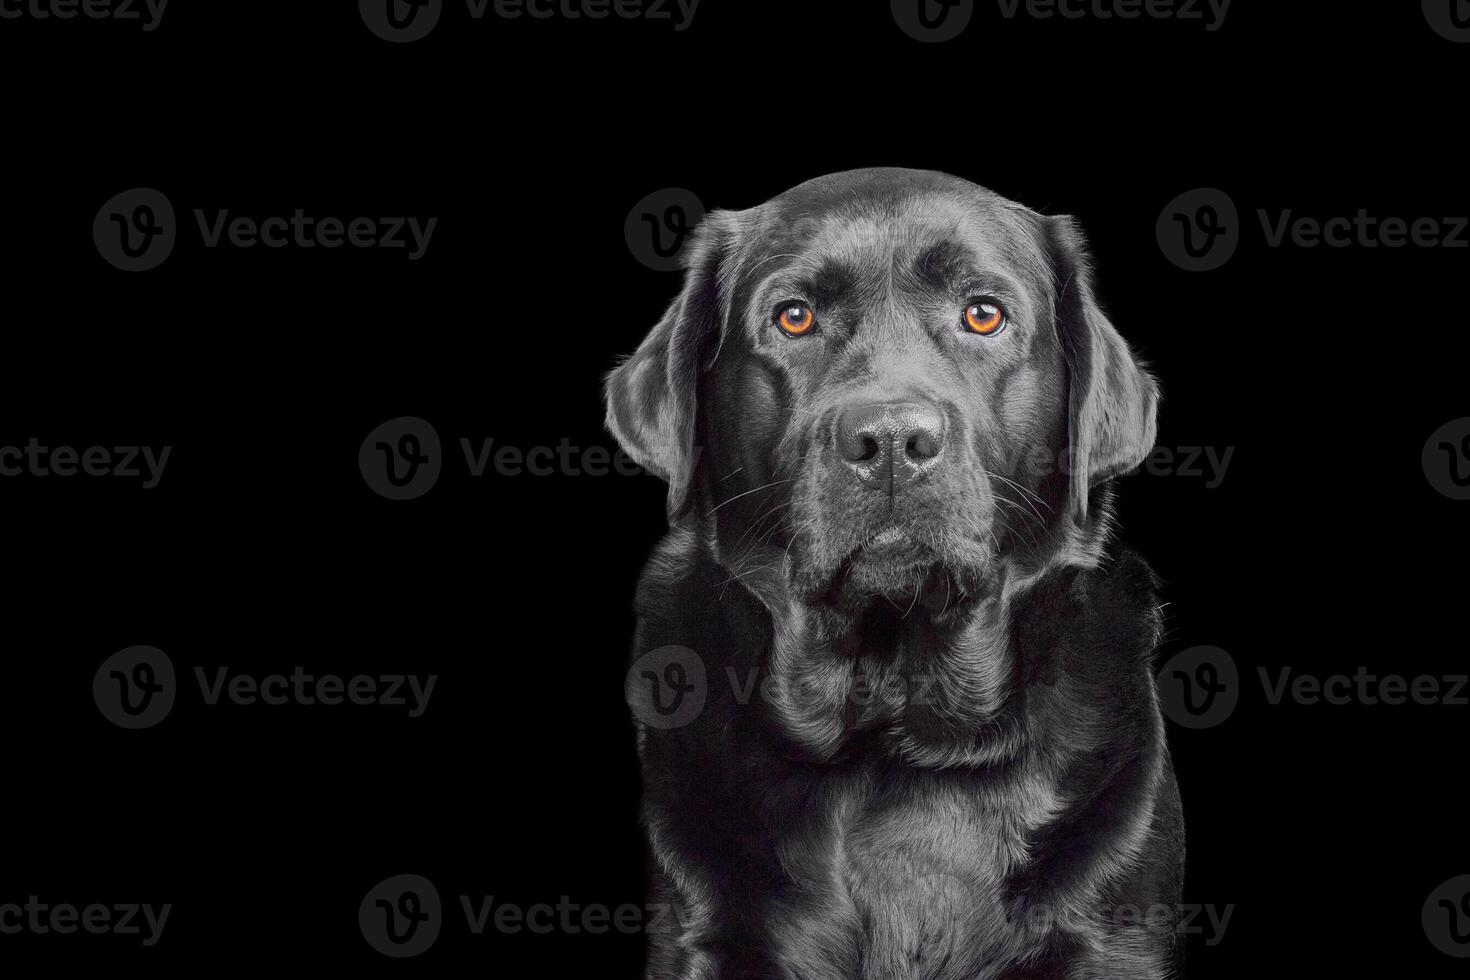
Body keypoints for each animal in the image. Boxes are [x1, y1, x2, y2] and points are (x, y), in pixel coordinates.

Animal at [602, 170, 1187, 980]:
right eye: (794, 318)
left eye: (983, 314)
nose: (889, 440)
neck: (894, 719)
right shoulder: (700, 933)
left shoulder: (1111, 929)